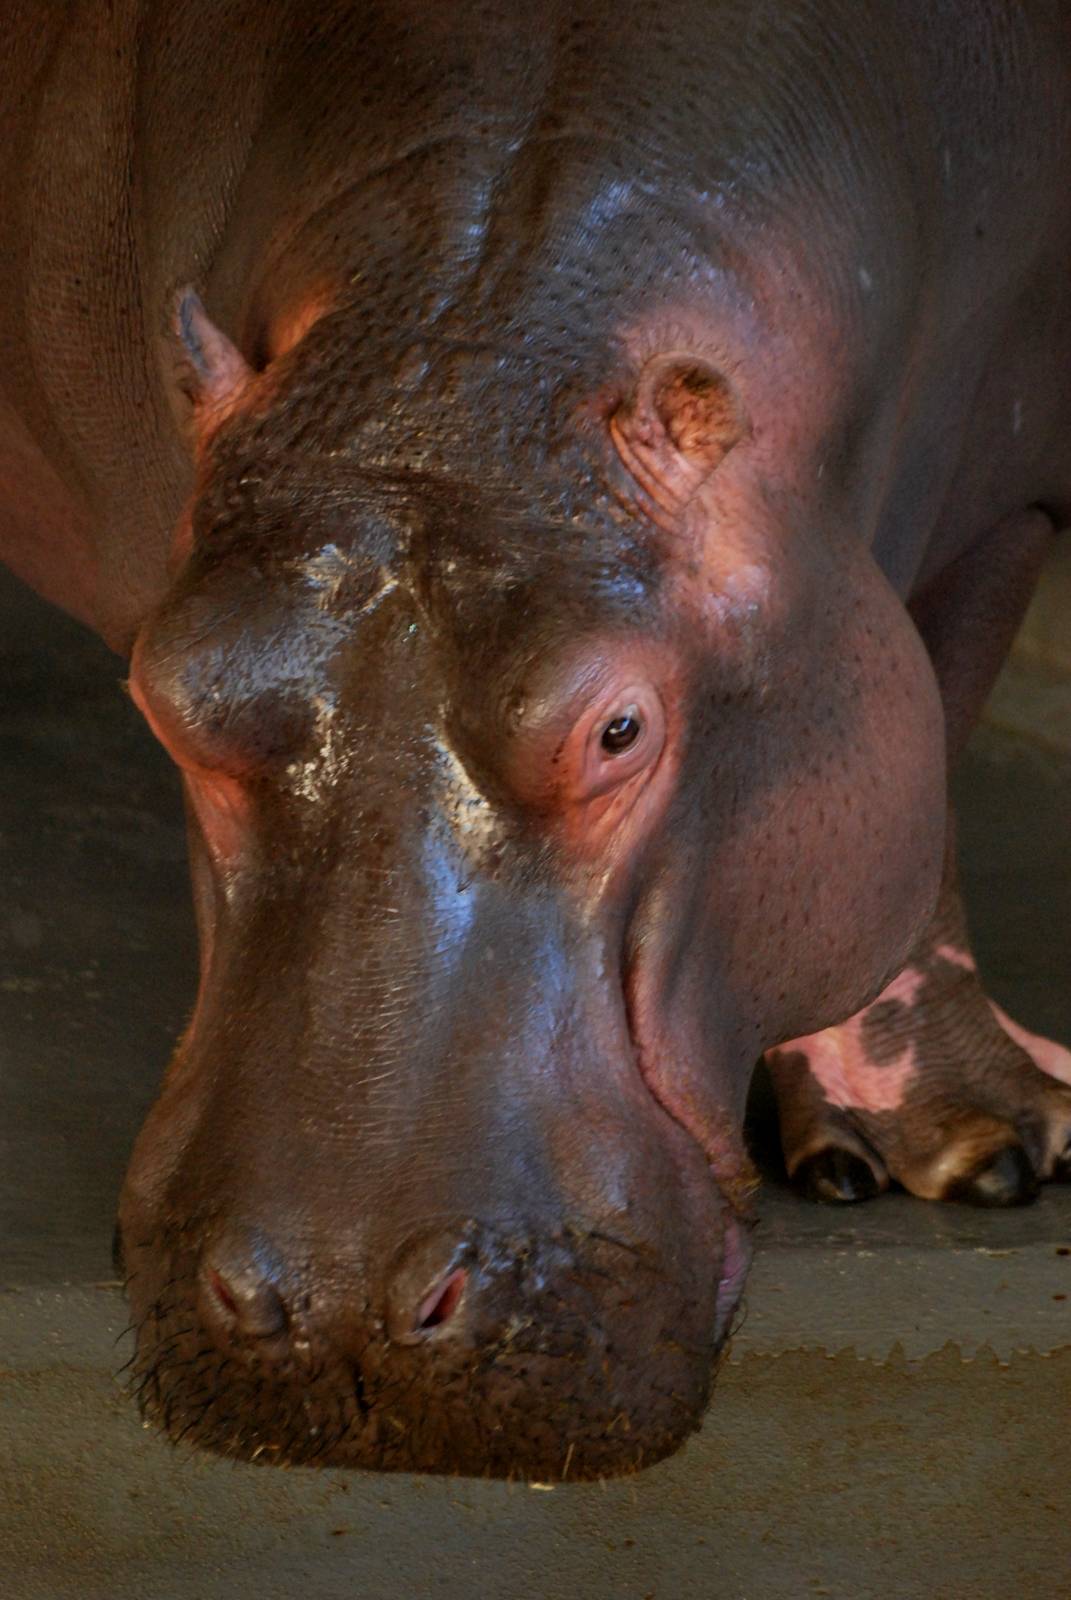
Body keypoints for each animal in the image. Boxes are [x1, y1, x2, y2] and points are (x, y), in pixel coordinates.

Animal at [2, 0, 1070, 1481]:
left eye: (618, 728)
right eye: (168, 693)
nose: (334, 1312)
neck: (479, 354)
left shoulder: (1005, 503)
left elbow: (925, 759)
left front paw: (975, 1151)